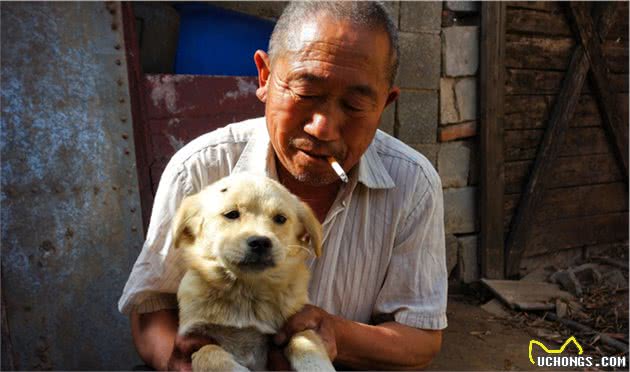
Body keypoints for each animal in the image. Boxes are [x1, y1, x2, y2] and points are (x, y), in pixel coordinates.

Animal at [170, 174, 334, 372]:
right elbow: (208, 352)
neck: (247, 291)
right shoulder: (192, 339)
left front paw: (317, 365)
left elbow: (305, 338)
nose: (261, 242)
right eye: (231, 214)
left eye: (280, 218)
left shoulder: (295, 323)